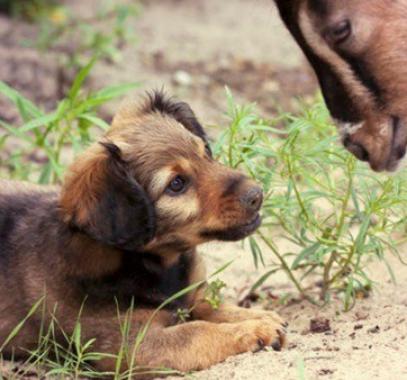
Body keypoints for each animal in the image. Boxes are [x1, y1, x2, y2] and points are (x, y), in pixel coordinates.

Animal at [0, 92, 286, 374]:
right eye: (176, 184)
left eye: (204, 151)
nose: (257, 195)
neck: (157, 264)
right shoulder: (135, 344)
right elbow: (198, 331)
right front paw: (254, 330)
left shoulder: (190, 298)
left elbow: (210, 307)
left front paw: (255, 315)